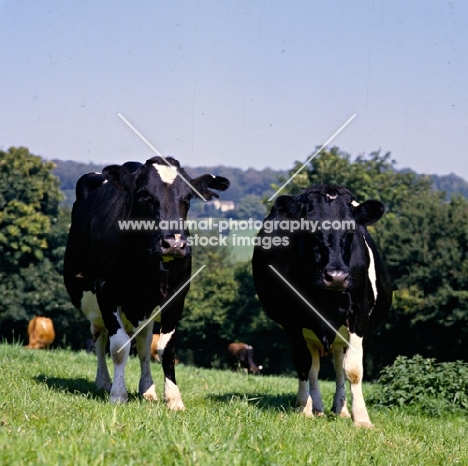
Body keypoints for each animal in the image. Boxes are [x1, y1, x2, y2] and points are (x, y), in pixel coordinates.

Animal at [63, 156, 229, 408]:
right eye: (144, 195)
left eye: (187, 197)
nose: (174, 244)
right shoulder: (106, 292)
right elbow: (119, 347)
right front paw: (118, 394)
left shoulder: (176, 295)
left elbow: (165, 349)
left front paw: (173, 399)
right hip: (95, 305)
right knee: (100, 338)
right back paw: (104, 382)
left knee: (143, 342)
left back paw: (147, 390)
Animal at [252, 185, 392, 426]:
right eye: (309, 228)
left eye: (351, 230)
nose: (336, 277)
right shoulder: (292, 319)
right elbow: (303, 365)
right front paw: (304, 409)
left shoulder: (359, 313)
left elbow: (353, 369)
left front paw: (361, 418)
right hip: (309, 334)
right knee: (313, 368)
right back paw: (315, 407)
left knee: (338, 366)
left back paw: (341, 409)